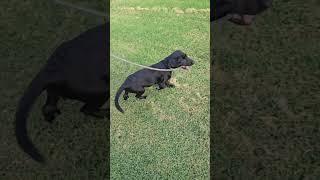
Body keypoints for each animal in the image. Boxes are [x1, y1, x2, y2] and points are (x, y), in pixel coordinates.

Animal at [15, 22, 110, 163]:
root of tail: (51, 70)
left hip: (54, 92)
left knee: (47, 107)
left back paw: (51, 118)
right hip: (102, 90)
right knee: (87, 109)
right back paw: (108, 113)